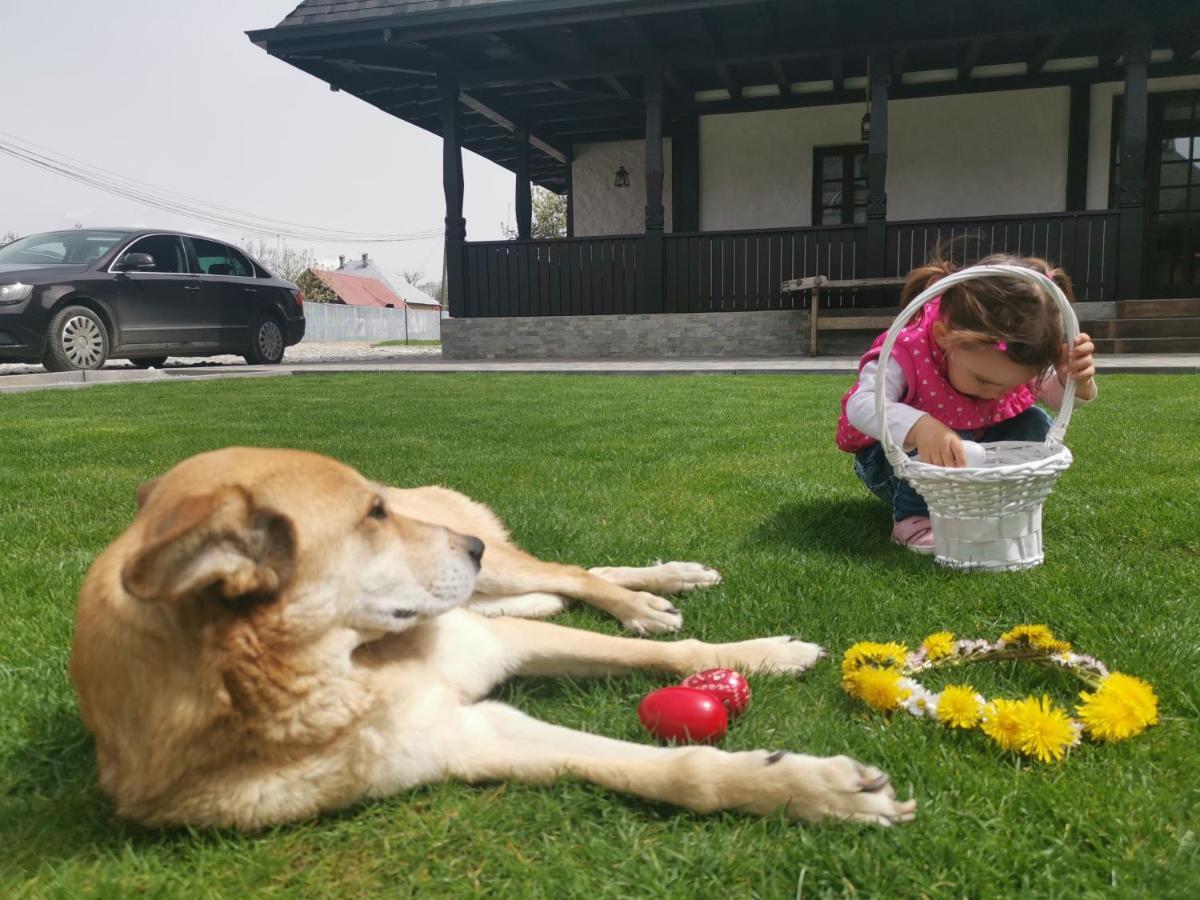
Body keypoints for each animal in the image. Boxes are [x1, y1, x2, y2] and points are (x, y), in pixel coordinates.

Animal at [70, 448, 912, 835]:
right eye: (371, 516)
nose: (467, 546)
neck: (339, 675)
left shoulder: (488, 643)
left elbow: (671, 657)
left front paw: (768, 660)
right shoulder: (468, 737)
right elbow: (664, 770)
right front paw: (810, 789)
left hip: (497, 577)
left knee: (572, 572)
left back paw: (652, 594)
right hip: (493, 588)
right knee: (565, 583)